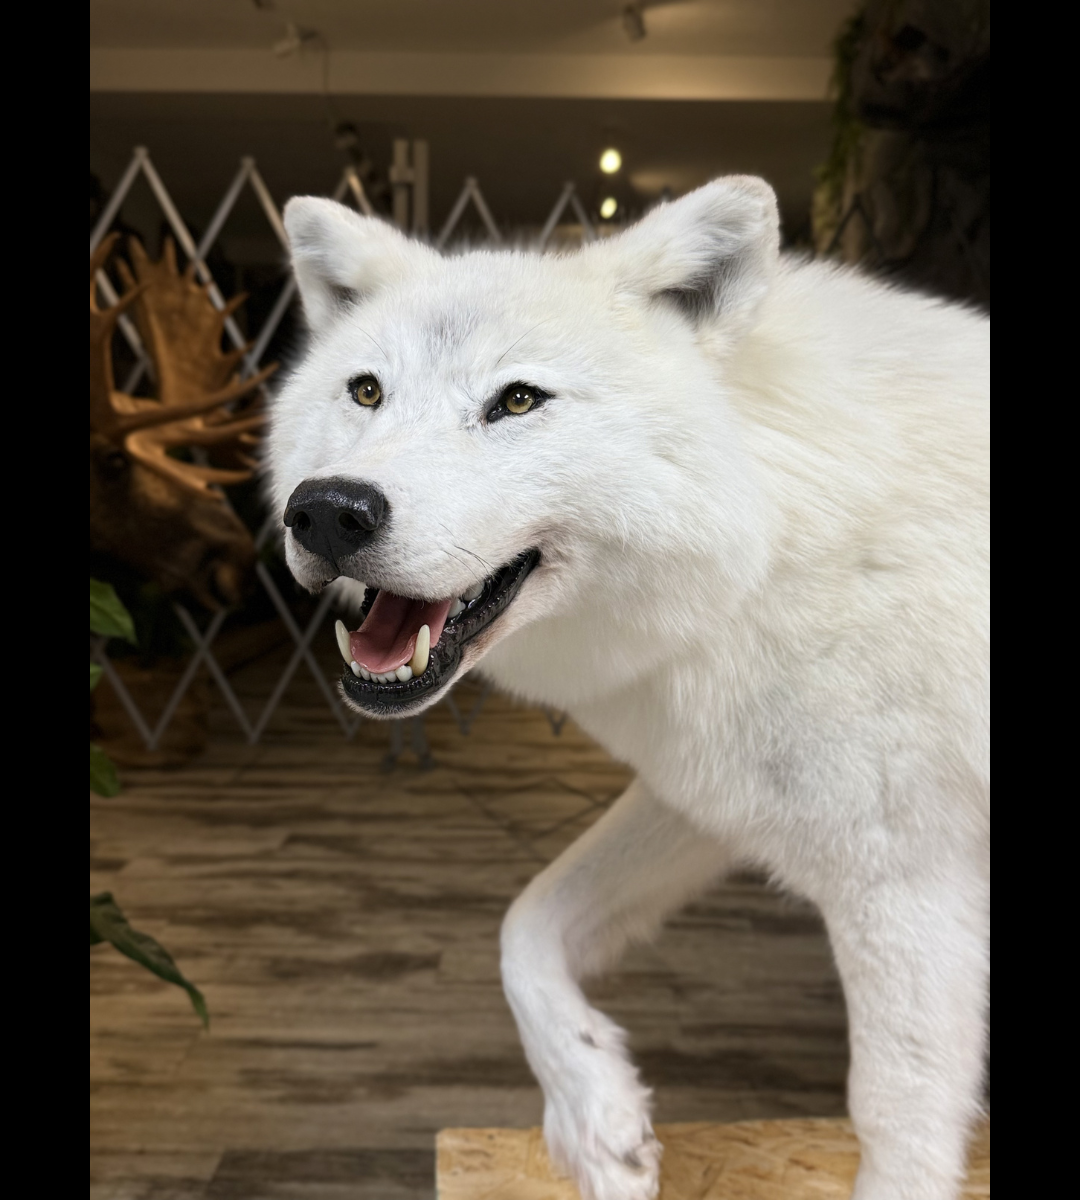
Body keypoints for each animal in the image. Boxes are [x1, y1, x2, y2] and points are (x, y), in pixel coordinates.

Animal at [266, 177, 990, 1200]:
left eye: (517, 399)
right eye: (366, 390)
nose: (330, 509)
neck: (775, 546)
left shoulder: (909, 881)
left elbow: (895, 1123)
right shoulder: (709, 794)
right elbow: (524, 925)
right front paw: (597, 1120)